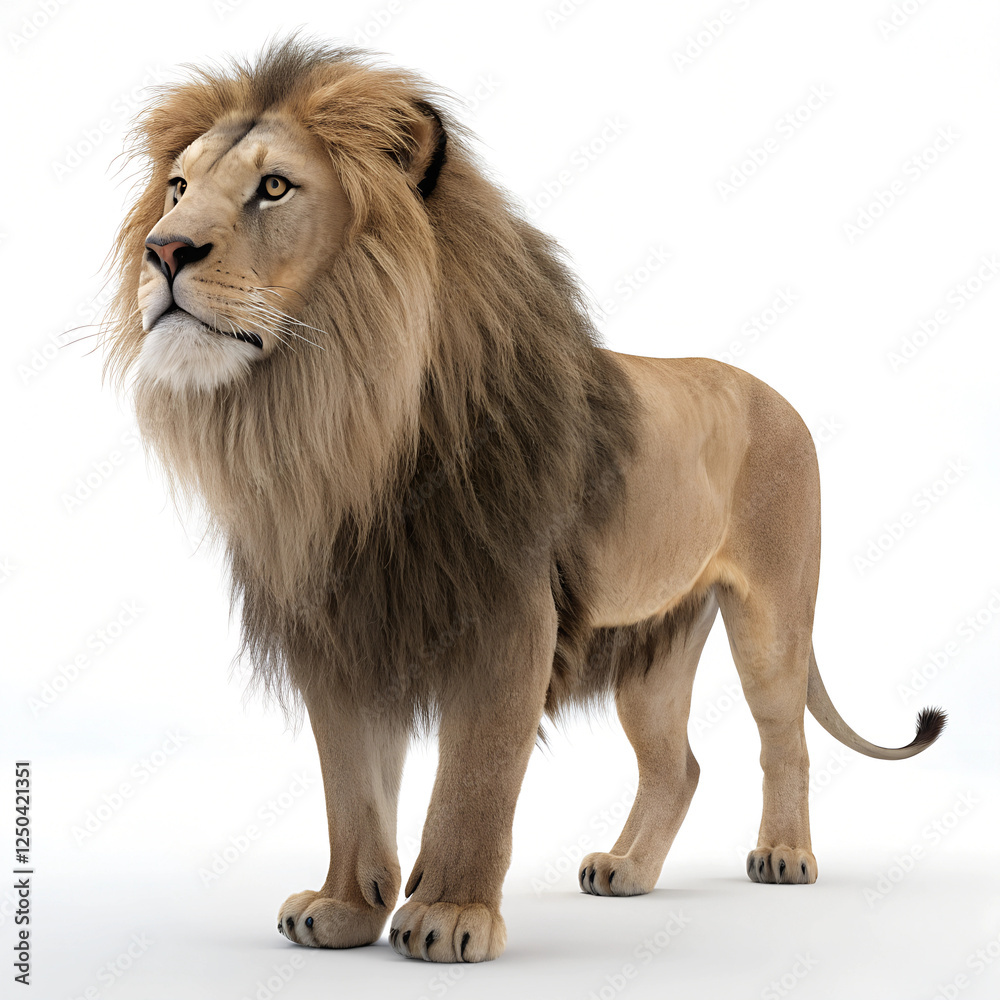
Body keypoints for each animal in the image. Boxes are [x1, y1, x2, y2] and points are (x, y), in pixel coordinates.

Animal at [104, 38, 945, 963]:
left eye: (276, 187)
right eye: (179, 186)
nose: (163, 251)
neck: (343, 420)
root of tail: (777, 395)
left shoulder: (509, 616)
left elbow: (474, 779)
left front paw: (449, 914)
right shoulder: (345, 627)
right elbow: (351, 790)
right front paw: (343, 909)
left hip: (772, 615)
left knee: (784, 740)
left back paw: (785, 856)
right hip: (653, 643)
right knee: (677, 764)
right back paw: (627, 869)